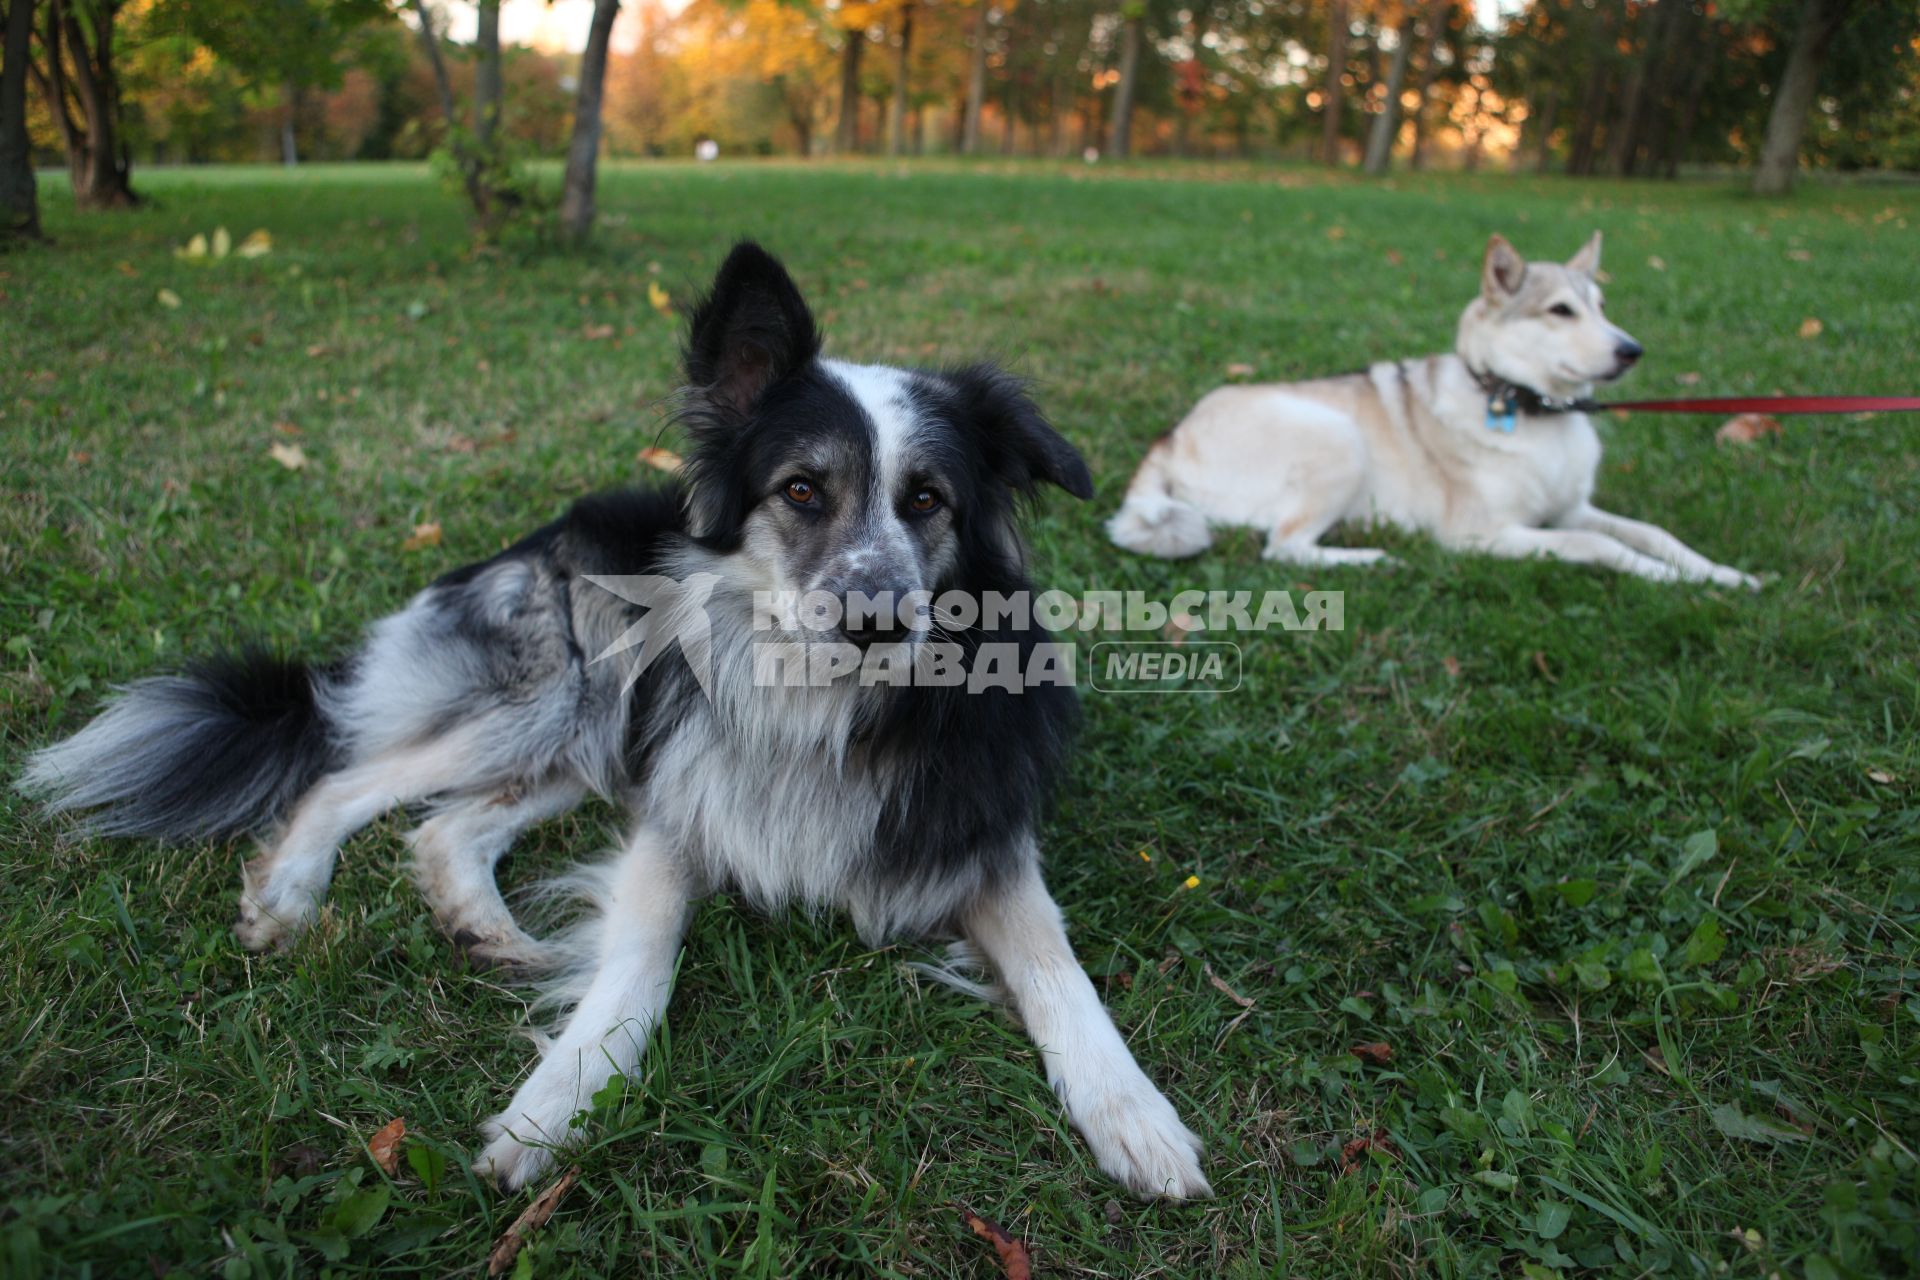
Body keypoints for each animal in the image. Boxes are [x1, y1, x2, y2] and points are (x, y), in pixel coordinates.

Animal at [22, 242, 1205, 1205]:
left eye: (927, 501)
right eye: (801, 489)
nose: (876, 619)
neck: (819, 704)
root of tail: (528, 536)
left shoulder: (976, 830)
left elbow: (1060, 965)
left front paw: (1136, 1114)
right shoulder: (677, 811)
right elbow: (641, 962)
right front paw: (554, 1103)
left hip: (596, 738)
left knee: (445, 824)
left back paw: (487, 931)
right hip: (563, 692)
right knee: (347, 775)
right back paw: (290, 896)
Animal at [1113, 233, 1758, 587]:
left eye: (1602, 306)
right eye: (1560, 311)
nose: (1632, 350)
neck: (1532, 409)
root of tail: (1171, 435)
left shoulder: (1571, 509)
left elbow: (1653, 533)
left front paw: (1724, 574)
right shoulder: (1482, 535)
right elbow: (1601, 547)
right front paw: (1665, 579)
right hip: (1337, 436)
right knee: (1283, 547)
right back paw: (1374, 557)